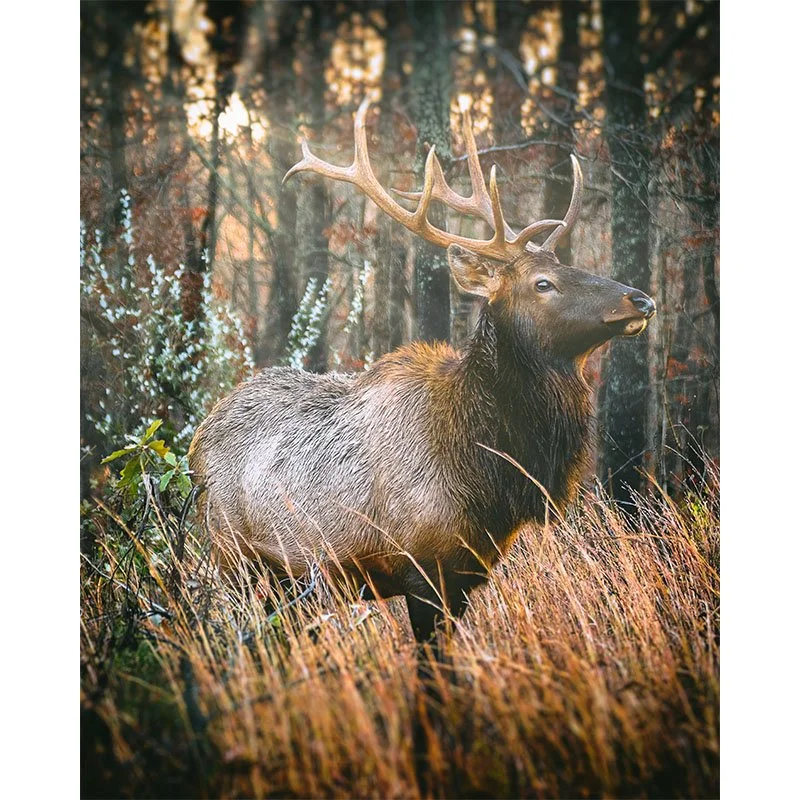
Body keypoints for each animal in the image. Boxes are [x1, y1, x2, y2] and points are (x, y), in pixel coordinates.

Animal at [188, 99, 655, 656]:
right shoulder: (421, 566)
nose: (641, 298)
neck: (485, 468)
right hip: (230, 554)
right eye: (544, 283)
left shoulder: (469, 572)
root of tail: (199, 434)